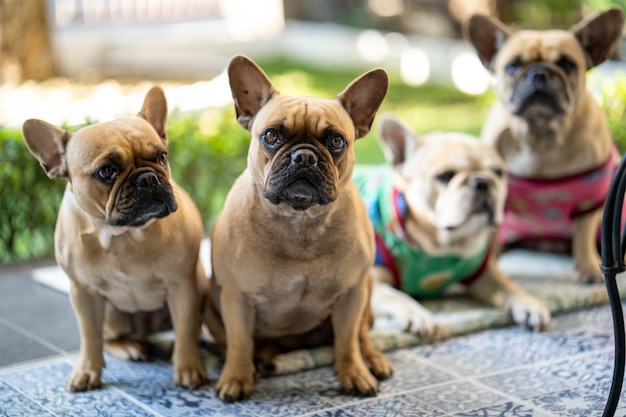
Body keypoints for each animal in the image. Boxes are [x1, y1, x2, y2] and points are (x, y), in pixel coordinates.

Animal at [354, 115, 548, 336]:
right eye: (445, 176)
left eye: (498, 172)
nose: (482, 182)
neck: (445, 244)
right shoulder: (373, 283)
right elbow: (396, 296)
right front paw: (417, 314)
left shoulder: (484, 274)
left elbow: (508, 286)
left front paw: (530, 304)